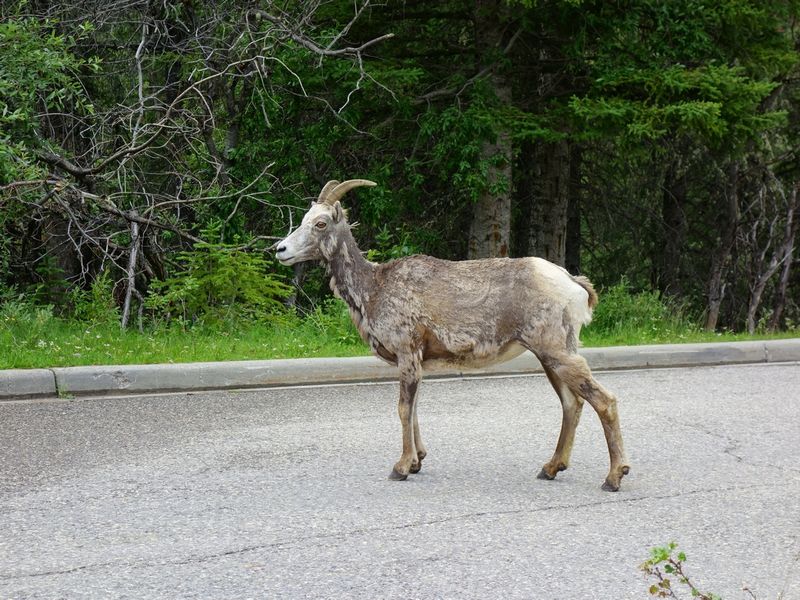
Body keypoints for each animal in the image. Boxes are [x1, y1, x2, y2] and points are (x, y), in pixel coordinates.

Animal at [278, 180, 628, 490]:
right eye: (304, 219)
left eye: (320, 223)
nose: (280, 249)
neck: (372, 290)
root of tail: (575, 286)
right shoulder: (417, 361)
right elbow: (415, 409)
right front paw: (417, 462)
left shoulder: (406, 351)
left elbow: (403, 409)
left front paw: (400, 468)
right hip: (549, 355)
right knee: (572, 403)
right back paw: (550, 468)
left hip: (557, 350)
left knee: (604, 400)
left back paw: (613, 478)